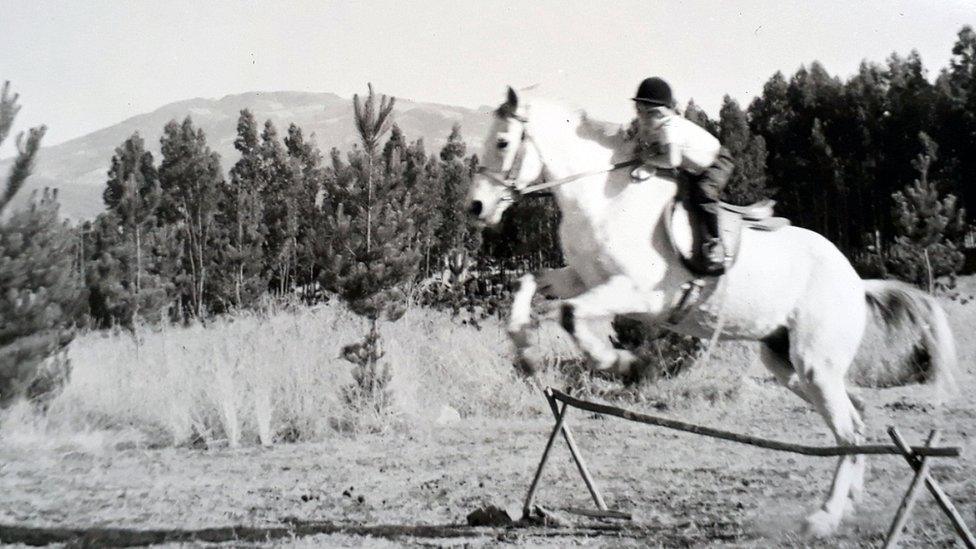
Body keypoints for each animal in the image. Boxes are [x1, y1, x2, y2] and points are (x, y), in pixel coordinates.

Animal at [466, 86, 952, 536]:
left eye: (503, 142)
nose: (475, 207)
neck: (602, 200)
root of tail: (855, 280)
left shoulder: (641, 293)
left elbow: (571, 314)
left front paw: (620, 362)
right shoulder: (581, 278)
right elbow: (532, 284)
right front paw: (525, 350)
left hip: (814, 361)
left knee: (848, 428)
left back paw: (824, 518)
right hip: (786, 363)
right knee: (855, 416)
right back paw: (848, 503)